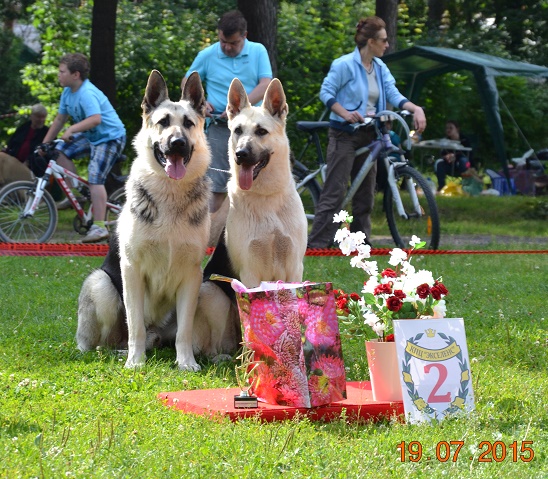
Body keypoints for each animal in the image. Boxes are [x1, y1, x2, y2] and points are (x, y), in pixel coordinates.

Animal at [77, 70, 212, 372]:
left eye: (188, 124)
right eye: (163, 123)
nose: (177, 144)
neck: (170, 193)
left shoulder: (192, 276)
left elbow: (185, 330)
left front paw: (186, 362)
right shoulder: (132, 270)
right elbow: (135, 324)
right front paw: (135, 361)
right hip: (101, 285)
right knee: (109, 341)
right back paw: (117, 352)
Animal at [192, 78, 308, 356]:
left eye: (261, 131)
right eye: (237, 130)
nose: (241, 154)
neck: (266, 198)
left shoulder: (294, 267)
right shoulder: (250, 272)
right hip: (212, 292)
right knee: (217, 344)